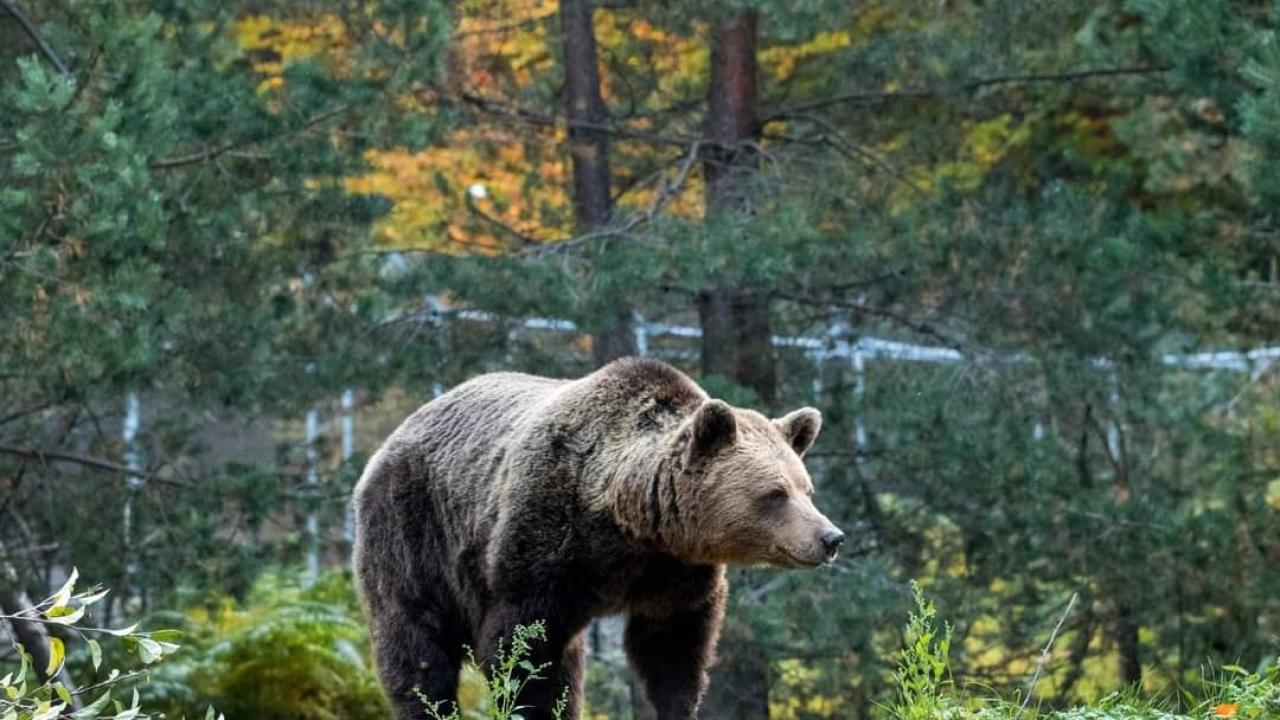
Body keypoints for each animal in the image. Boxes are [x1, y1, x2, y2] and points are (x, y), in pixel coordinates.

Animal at [355, 356, 844, 712]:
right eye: (775, 493)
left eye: (806, 489)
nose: (830, 537)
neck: (629, 524)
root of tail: (398, 432)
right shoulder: (544, 544)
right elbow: (521, 648)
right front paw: (527, 705)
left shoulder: (675, 574)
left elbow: (674, 649)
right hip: (413, 532)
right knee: (416, 644)